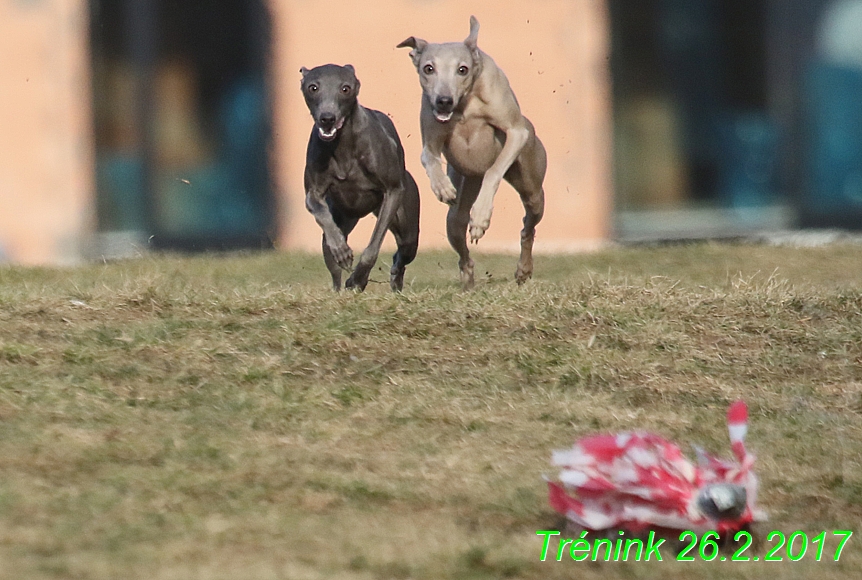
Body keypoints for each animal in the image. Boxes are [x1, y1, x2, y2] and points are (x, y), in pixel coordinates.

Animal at [302, 64, 420, 292]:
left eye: (345, 88)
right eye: (313, 87)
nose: (327, 118)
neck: (342, 144)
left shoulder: (393, 191)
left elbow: (373, 246)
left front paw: (357, 279)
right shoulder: (314, 193)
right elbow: (320, 211)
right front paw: (342, 250)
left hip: (408, 227)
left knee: (402, 253)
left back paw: (394, 281)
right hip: (343, 217)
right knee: (332, 264)